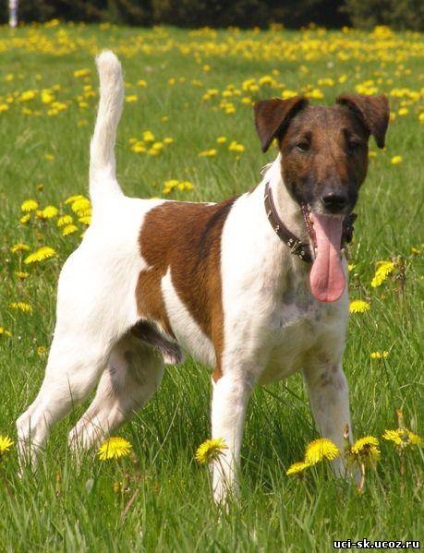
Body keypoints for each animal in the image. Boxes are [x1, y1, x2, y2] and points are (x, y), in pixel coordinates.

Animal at [17, 49, 388, 502]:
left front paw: (353, 500)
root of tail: (111, 208)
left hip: (134, 377)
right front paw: (228, 512)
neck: (290, 258)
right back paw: (32, 486)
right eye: (302, 145)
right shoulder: (231, 378)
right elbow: (225, 467)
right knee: (31, 424)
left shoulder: (327, 376)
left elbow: (342, 454)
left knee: (79, 434)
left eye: (354, 145)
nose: (335, 198)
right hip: (79, 358)